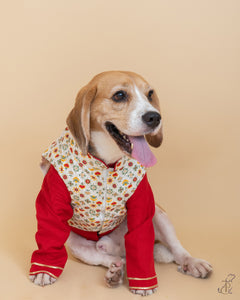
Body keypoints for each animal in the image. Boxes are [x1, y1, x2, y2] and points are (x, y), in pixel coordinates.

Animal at [29, 70, 212, 296]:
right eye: (119, 96)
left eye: (150, 94)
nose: (155, 117)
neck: (107, 161)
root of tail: (118, 246)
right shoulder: (52, 202)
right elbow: (49, 234)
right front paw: (44, 270)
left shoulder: (143, 206)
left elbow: (142, 244)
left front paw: (143, 283)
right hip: (75, 245)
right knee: (110, 257)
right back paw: (115, 272)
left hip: (159, 214)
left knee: (176, 250)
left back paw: (192, 263)